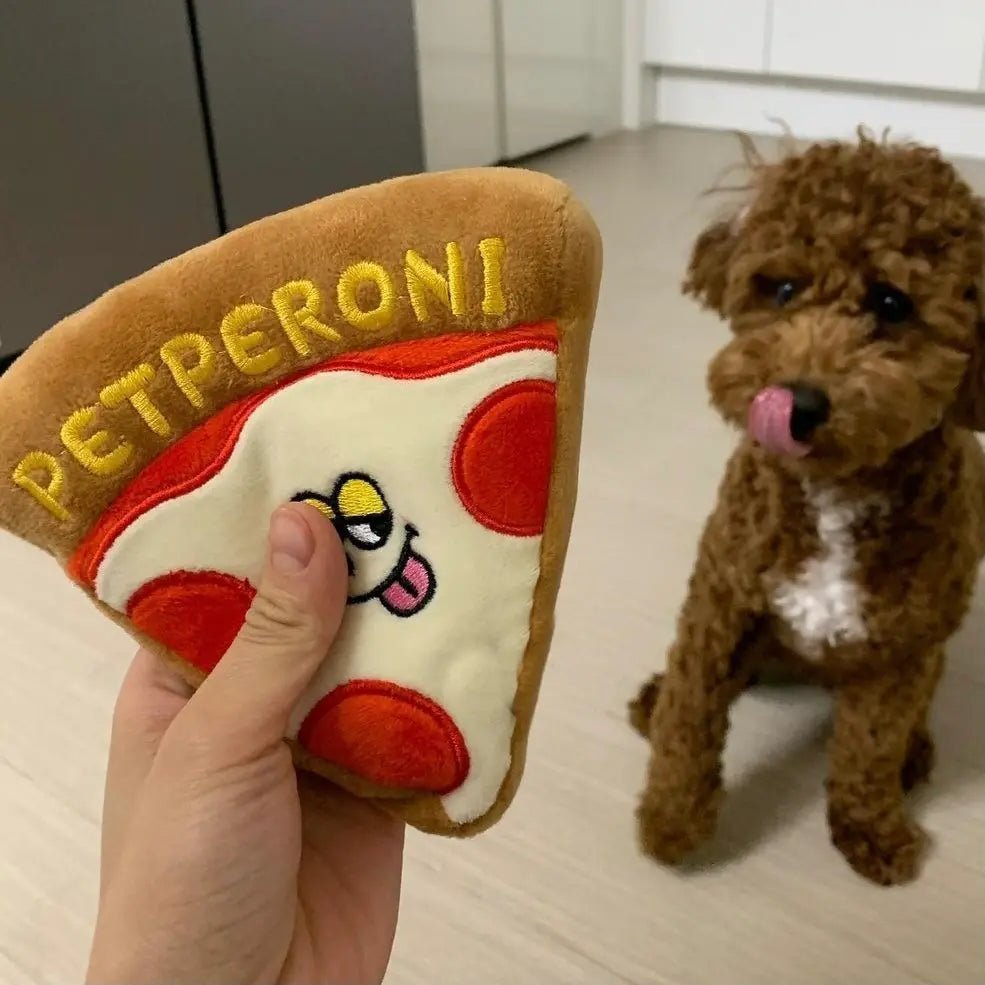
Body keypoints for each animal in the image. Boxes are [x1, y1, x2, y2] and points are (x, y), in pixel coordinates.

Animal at [632, 133, 984, 884]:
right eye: (783, 288)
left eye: (891, 303)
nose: (795, 402)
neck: (835, 492)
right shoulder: (720, 600)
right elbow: (690, 715)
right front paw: (671, 820)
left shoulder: (900, 650)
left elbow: (869, 747)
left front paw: (870, 829)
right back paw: (653, 697)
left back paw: (915, 756)